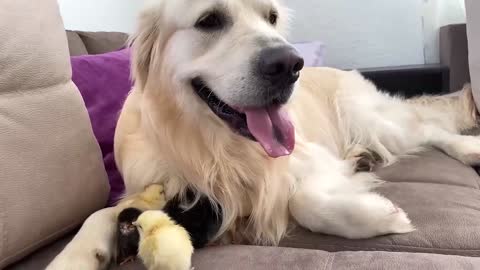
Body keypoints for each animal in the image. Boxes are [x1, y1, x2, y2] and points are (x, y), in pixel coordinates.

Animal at [47, 0, 478, 268]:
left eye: (271, 17)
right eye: (209, 20)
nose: (290, 64)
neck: (215, 146)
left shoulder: (306, 155)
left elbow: (303, 198)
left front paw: (378, 216)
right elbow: (101, 214)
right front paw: (73, 256)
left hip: (368, 117)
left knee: (427, 127)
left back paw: (467, 147)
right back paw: (364, 157)